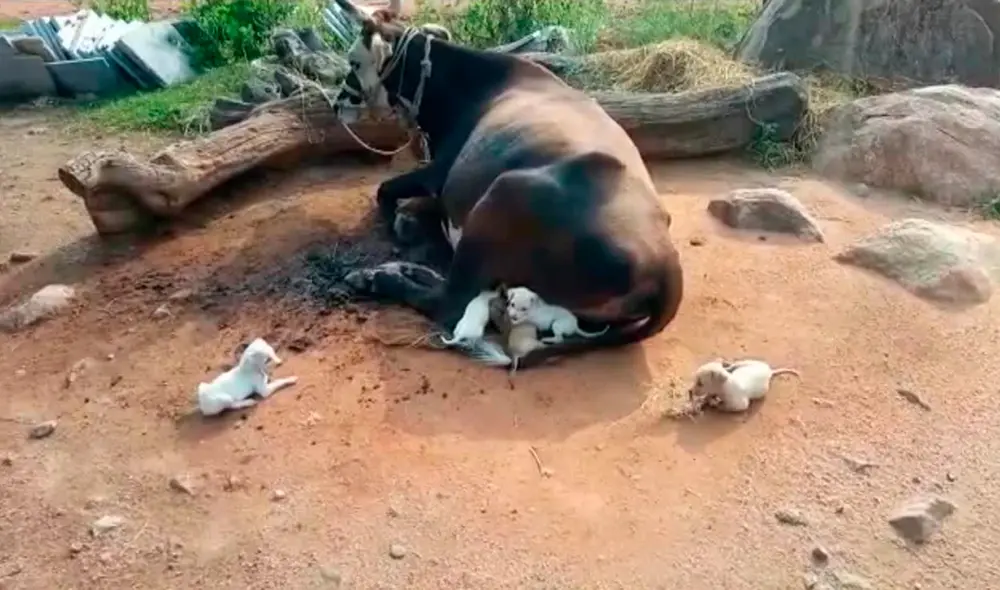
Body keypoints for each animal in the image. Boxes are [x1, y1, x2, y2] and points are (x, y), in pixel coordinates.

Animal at [332, 0, 684, 369]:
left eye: (353, 61)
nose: (338, 104)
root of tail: (666, 267)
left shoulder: (438, 173)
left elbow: (384, 191)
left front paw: (399, 226)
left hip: (501, 194)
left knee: (450, 301)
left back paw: (376, 277)